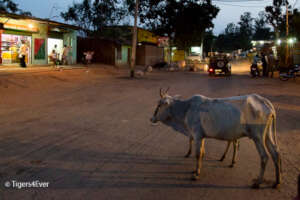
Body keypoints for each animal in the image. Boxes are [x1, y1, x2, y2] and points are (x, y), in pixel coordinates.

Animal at [151, 89, 282, 189]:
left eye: (159, 104)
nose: (151, 118)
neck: (186, 108)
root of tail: (265, 101)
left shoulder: (197, 135)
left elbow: (198, 154)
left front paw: (196, 175)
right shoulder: (201, 136)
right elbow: (202, 153)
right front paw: (196, 170)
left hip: (257, 136)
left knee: (264, 156)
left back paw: (258, 183)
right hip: (267, 135)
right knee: (275, 153)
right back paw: (277, 182)